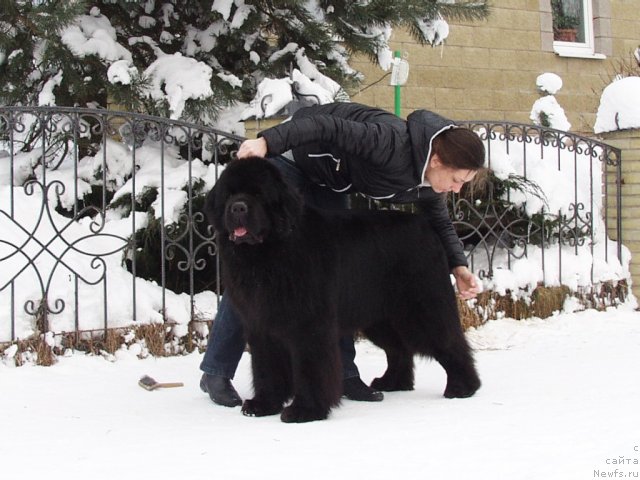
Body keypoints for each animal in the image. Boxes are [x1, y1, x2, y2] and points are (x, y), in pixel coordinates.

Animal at [205, 158, 480, 424]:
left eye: (259, 194)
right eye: (229, 194)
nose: (238, 208)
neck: (270, 252)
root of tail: (427, 226)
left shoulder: (309, 325)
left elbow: (310, 368)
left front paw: (305, 411)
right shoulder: (262, 324)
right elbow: (267, 367)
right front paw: (264, 404)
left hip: (421, 309)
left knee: (449, 341)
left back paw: (463, 387)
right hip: (381, 318)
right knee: (399, 348)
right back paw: (393, 382)